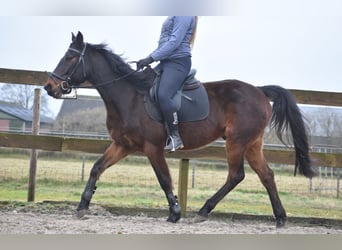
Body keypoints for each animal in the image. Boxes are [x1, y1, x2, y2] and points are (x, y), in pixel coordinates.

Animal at [44, 31, 316, 227]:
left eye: (69, 58)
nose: (49, 87)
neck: (129, 97)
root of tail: (259, 91)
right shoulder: (122, 145)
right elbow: (96, 168)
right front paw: (82, 207)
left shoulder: (152, 148)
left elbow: (164, 179)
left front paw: (175, 212)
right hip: (252, 144)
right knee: (266, 175)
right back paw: (280, 218)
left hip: (236, 142)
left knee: (236, 175)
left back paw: (203, 211)